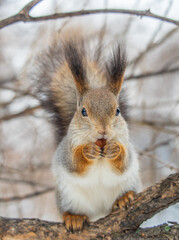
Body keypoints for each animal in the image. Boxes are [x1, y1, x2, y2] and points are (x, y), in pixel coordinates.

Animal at [31, 30, 142, 232]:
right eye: (83, 111)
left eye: (117, 110)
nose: (103, 131)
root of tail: (100, 212)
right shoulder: (67, 151)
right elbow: (75, 164)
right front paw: (87, 151)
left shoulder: (127, 145)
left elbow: (123, 162)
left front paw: (114, 150)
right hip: (67, 196)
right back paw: (74, 217)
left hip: (131, 181)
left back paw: (123, 197)